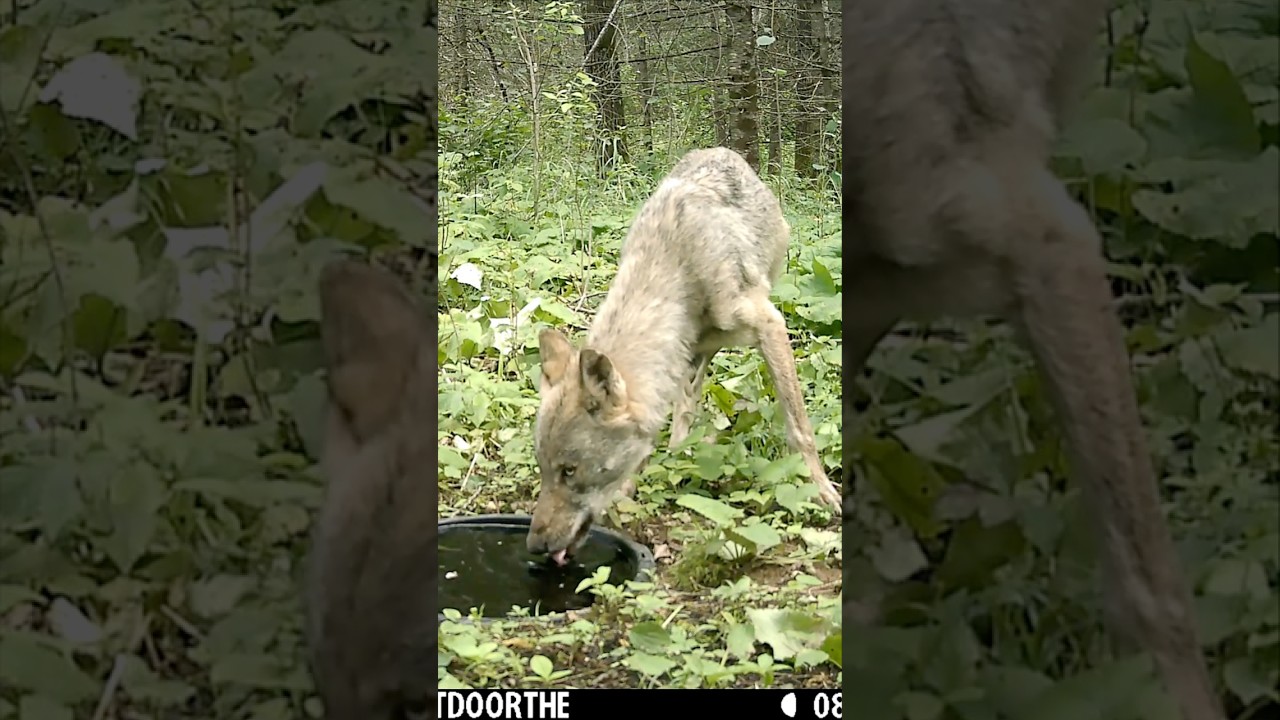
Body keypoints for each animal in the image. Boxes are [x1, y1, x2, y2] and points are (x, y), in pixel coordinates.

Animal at [526, 147, 842, 566]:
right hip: (693, 353)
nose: (533, 546)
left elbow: (800, 429)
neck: (677, 263)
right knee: (686, 406)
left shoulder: (770, 325)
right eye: (543, 469)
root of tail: (721, 150)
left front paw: (821, 491)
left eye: (569, 471)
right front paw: (632, 486)